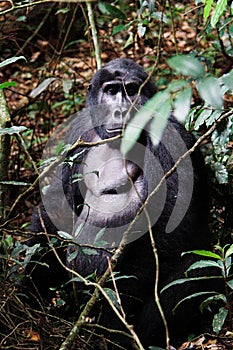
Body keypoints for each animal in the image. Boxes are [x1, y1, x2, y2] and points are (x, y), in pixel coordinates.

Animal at [28, 58, 212, 348]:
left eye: (132, 90)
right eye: (112, 90)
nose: (120, 110)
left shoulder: (171, 137)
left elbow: (172, 230)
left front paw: (116, 313)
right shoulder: (78, 134)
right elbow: (56, 209)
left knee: (193, 268)